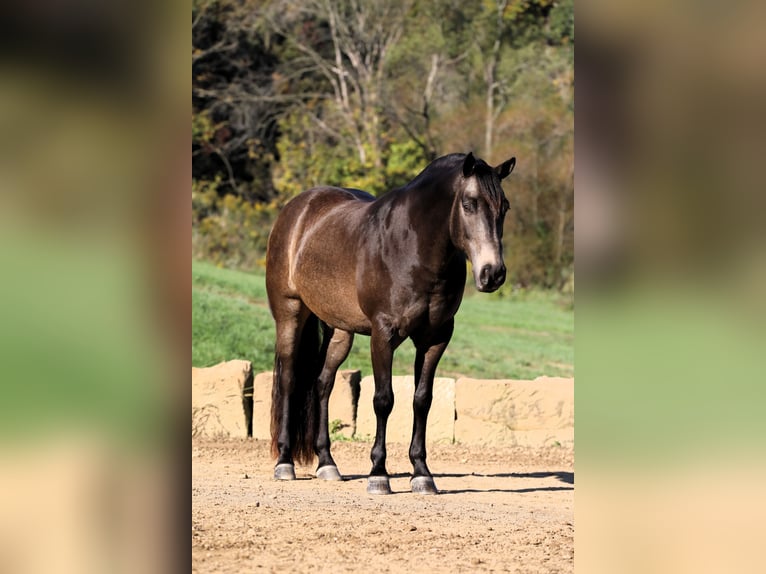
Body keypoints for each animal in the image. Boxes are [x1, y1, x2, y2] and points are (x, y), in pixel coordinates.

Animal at [264, 152, 516, 496]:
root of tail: (297, 208)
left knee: (322, 384)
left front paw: (422, 474)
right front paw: (378, 474)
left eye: (504, 207)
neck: (412, 248)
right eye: (469, 203)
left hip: (339, 330)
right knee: (289, 380)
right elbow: (384, 400)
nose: (493, 274)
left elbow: (422, 400)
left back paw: (327, 464)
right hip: (290, 313)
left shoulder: (436, 338)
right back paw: (285, 463)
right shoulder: (383, 335)